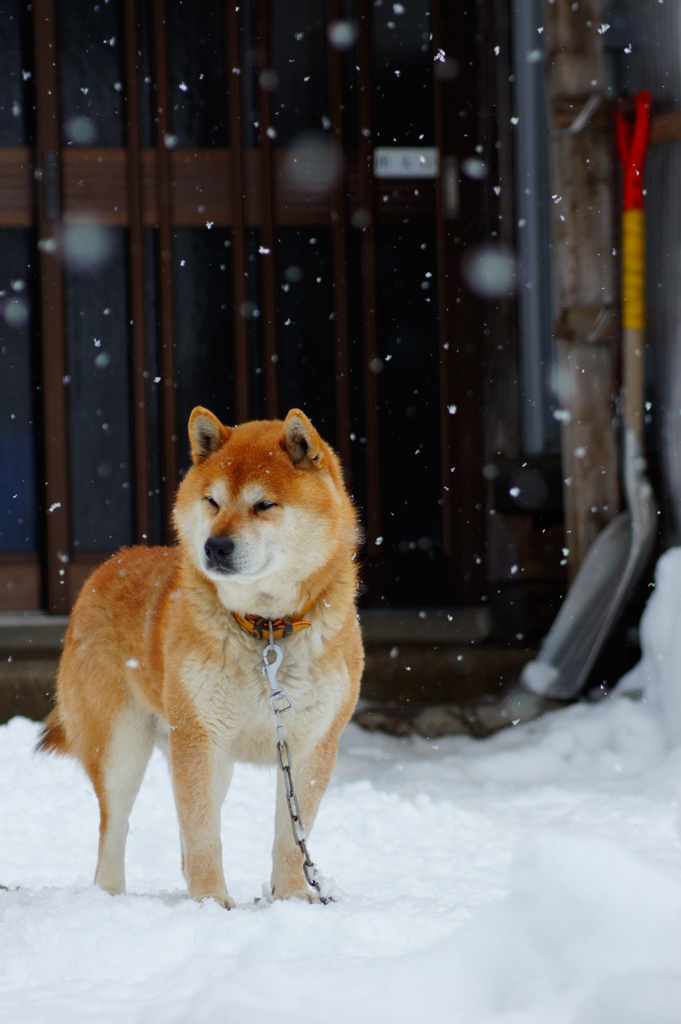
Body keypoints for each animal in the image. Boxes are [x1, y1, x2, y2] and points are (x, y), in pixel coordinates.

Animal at [39, 405, 364, 905]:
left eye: (263, 505)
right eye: (212, 502)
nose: (215, 545)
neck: (266, 629)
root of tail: (105, 567)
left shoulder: (312, 745)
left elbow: (290, 836)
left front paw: (292, 896)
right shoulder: (199, 735)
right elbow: (203, 833)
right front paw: (211, 903)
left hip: (208, 761)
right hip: (121, 748)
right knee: (115, 829)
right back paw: (111, 897)